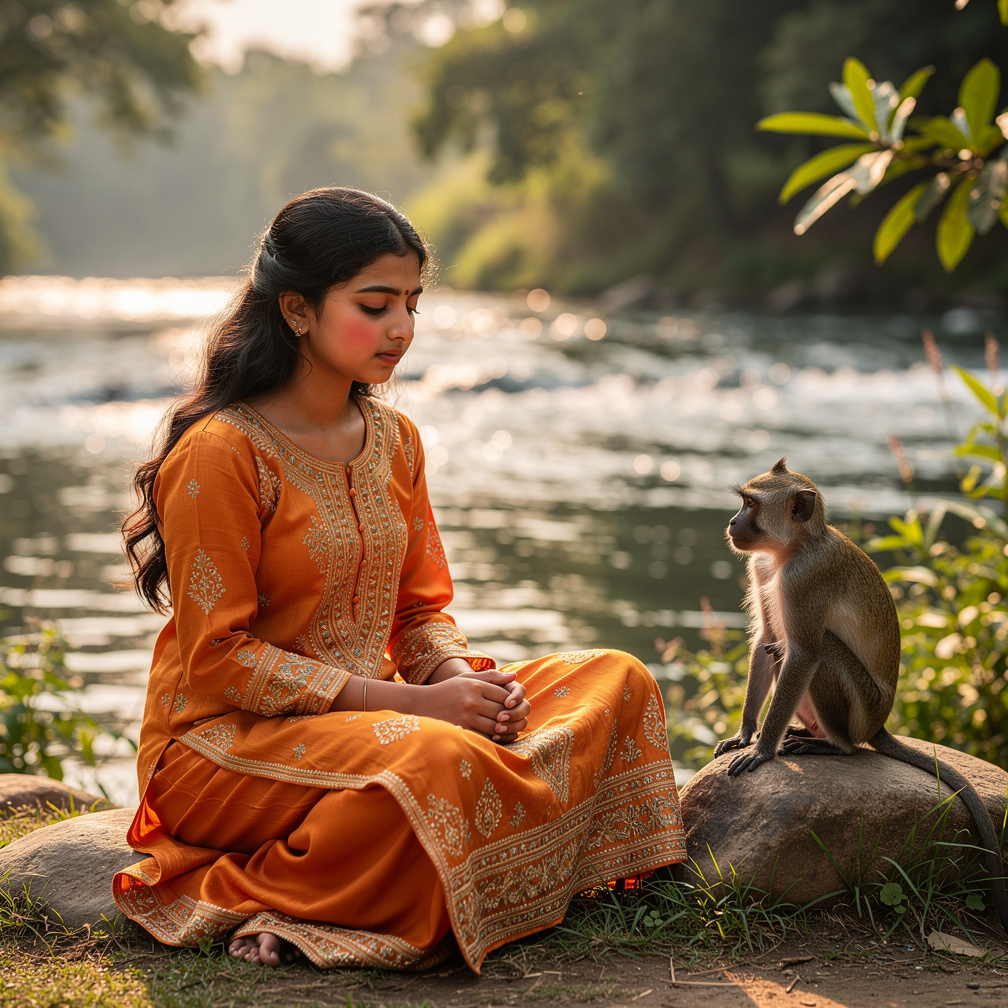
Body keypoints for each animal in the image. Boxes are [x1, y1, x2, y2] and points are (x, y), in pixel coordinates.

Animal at [714, 458, 1008, 935]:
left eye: (751, 505)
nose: (732, 522)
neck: (792, 549)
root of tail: (880, 723)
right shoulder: (760, 567)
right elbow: (763, 640)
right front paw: (745, 734)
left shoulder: (803, 581)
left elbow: (804, 653)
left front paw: (762, 750)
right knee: (778, 647)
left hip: (862, 708)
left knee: (822, 653)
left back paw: (835, 746)